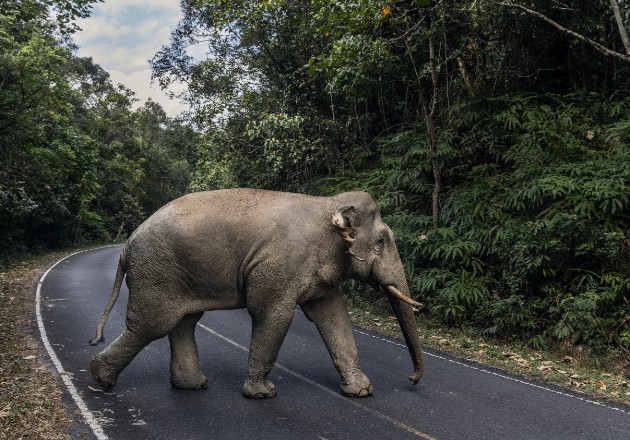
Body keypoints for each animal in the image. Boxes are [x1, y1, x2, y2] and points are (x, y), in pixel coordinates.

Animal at [90, 189, 424, 398]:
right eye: (381, 242)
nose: (412, 379)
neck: (326, 204)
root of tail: (125, 247)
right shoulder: (280, 264)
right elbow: (272, 314)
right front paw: (262, 394)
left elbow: (334, 317)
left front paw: (362, 391)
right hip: (157, 273)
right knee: (152, 325)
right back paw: (100, 377)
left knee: (184, 322)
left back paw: (192, 385)